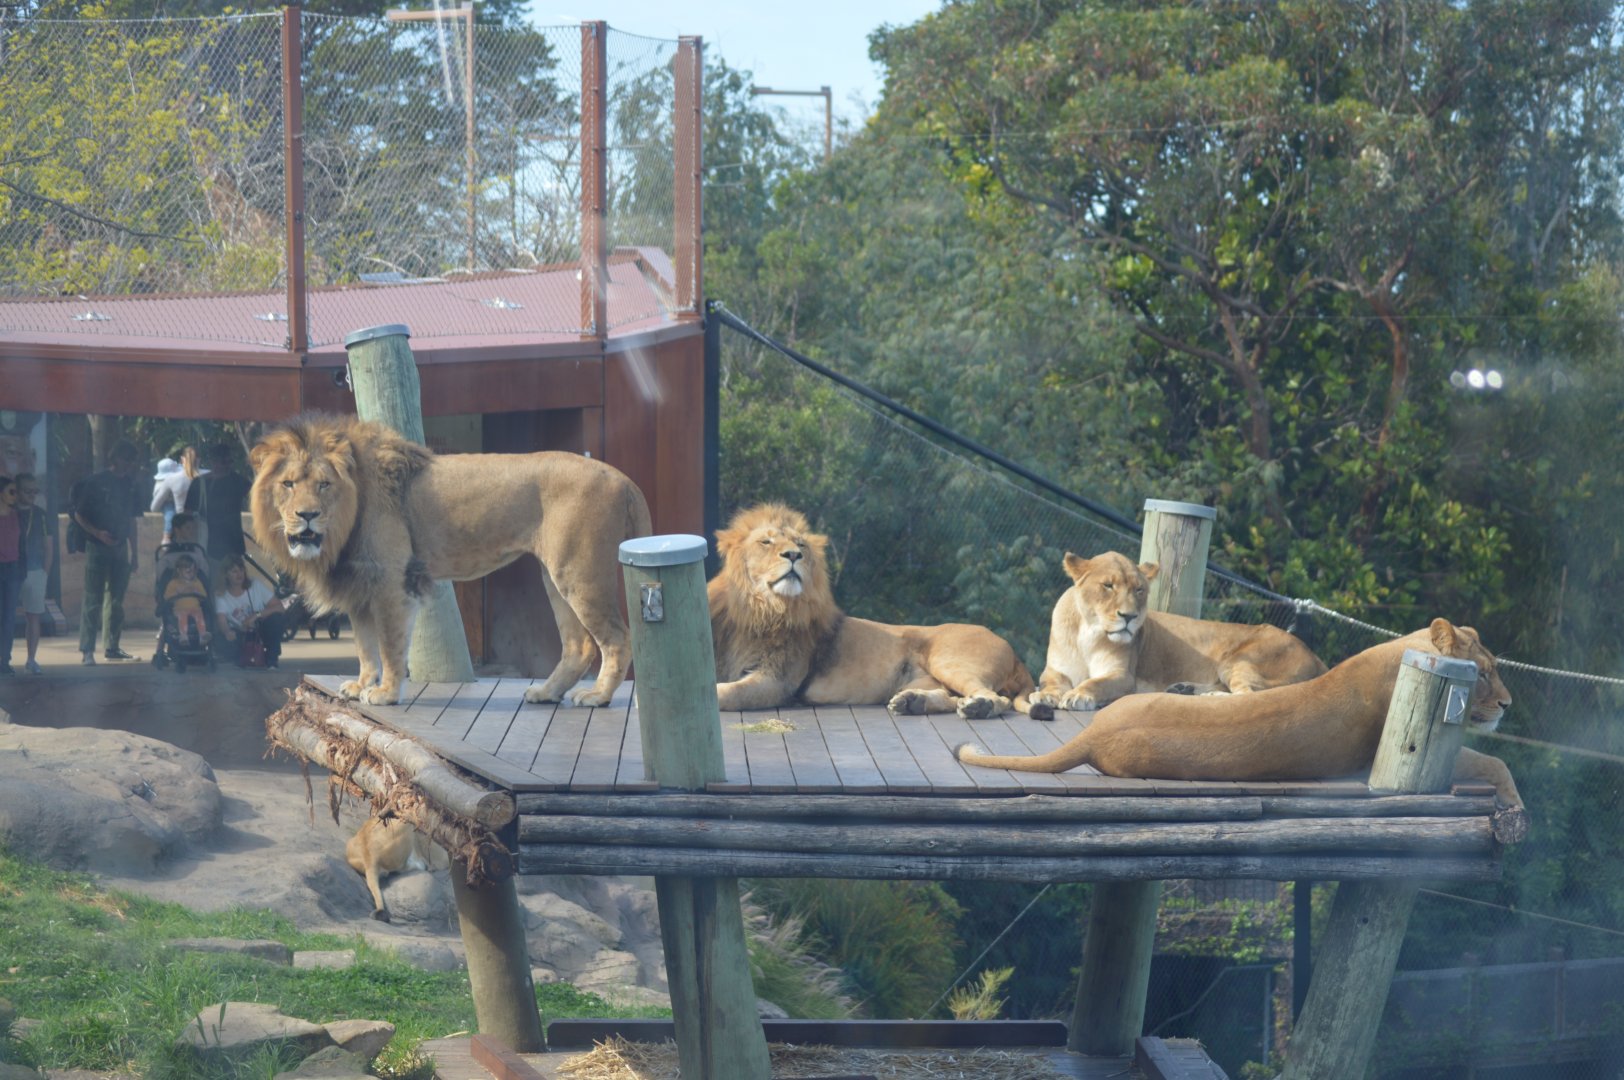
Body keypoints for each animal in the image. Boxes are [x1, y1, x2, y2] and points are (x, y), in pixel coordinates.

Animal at [250, 413, 651, 707]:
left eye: (323, 484)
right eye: (288, 484)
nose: (307, 516)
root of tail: (622, 478)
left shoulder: (391, 582)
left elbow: (389, 644)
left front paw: (385, 693)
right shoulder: (360, 586)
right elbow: (365, 645)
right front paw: (360, 685)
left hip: (580, 573)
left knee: (617, 637)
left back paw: (598, 696)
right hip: (554, 576)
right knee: (580, 644)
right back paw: (546, 693)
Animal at [709, 503, 1048, 719]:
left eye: (801, 544)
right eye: (766, 542)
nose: (793, 555)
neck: (762, 609)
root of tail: (1014, 652)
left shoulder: (777, 680)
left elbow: (727, 692)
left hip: (949, 660)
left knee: (996, 698)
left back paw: (978, 709)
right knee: (954, 697)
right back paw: (913, 703)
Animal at [959, 618, 1524, 824]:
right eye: (1486, 673)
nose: (1508, 705)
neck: (1400, 655)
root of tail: (1094, 733)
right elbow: (1493, 761)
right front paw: (1517, 806)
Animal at [1022, 550, 1328, 713]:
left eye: (1139, 590)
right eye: (1108, 585)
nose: (1129, 617)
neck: (1090, 632)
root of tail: (1314, 654)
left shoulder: (1123, 676)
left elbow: (1095, 683)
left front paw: (1079, 696)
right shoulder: (1054, 669)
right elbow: (1050, 682)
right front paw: (1046, 695)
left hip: (1239, 660)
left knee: (1251, 696)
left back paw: (1209, 698)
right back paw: (1184, 689)